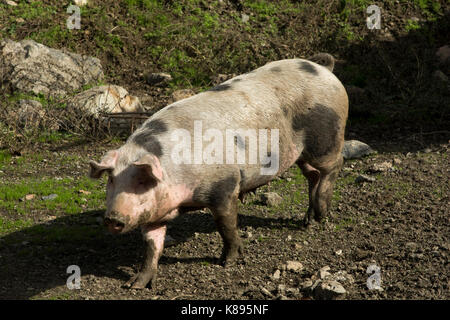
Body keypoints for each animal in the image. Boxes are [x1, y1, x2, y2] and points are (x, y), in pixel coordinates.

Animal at [88, 53, 348, 290]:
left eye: (142, 180)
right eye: (111, 180)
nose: (112, 219)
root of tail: (323, 69)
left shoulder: (224, 186)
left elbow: (226, 226)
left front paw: (228, 262)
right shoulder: (155, 213)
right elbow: (152, 247)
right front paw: (134, 285)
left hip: (325, 140)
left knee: (335, 165)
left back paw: (322, 215)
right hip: (301, 154)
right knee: (313, 175)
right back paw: (309, 221)